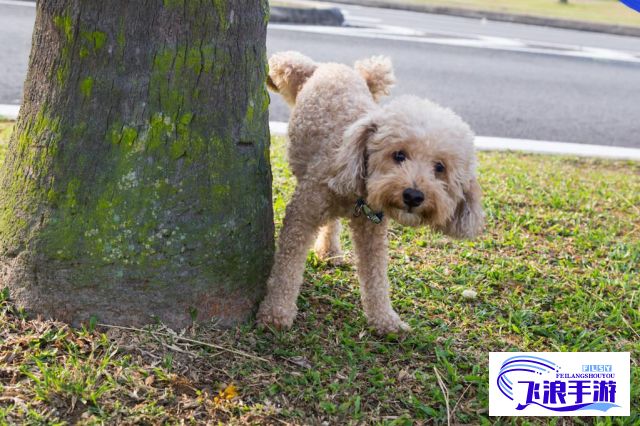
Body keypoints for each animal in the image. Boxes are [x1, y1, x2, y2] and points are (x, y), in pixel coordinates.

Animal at [258, 52, 482, 332]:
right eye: (399, 155)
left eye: (440, 167)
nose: (413, 196)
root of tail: (332, 67)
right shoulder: (303, 213)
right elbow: (287, 266)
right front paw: (276, 312)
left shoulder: (372, 229)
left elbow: (376, 276)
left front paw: (385, 319)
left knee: (332, 224)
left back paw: (330, 251)